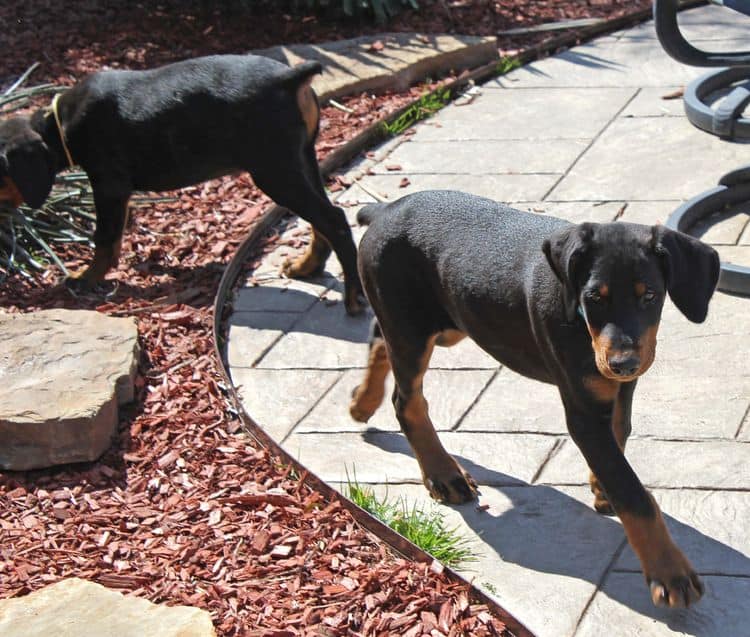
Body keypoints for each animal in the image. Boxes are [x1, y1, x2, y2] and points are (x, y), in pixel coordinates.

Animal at [0, 52, 364, 314]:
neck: (59, 124)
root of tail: (289, 77)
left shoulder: (108, 186)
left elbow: (104, 238)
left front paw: (86, 277)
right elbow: (117, 234)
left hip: (275, 169)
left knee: (333, 219)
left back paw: (354, 297)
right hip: (303, 159)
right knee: (322, 219)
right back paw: (307, 266)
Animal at [352, 188, 724, 608]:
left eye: (650, 296)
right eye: (595, 297)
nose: (623, 363)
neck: (581, 324)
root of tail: (386, 209)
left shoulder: (619, 385)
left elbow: (619, 434)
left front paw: (601, 486)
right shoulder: (582, 410)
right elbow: (633, 492)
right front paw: (670, 572)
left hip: (448, 322)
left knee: (379, 337)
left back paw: (362, 402)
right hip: (413, 327)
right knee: (407, 399)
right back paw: (443, 473)